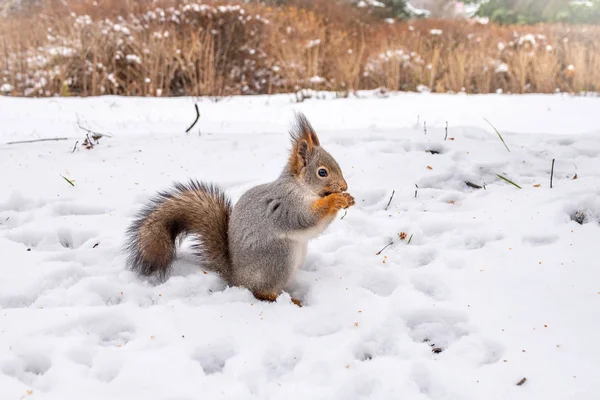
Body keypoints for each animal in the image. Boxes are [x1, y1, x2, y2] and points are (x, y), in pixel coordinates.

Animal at [123, 113, 354, 306]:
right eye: (322, 172)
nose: (344, 187)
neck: (299, 187)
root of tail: (237, 278)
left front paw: (347, 199)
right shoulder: (287, 206)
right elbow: (306, 219)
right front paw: (335, 200)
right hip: (279, 257)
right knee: (261, 291)